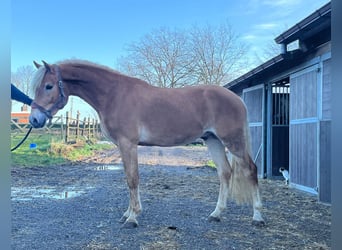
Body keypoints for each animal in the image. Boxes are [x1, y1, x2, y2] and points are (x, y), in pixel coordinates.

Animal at [29, 59, 264, 228]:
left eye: (49, 86)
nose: (34, 120)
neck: (114, 94)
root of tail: (236, 98)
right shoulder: (125, 146)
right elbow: (129, 178)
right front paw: (128, 213)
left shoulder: (128, 144)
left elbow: (132, 179)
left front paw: (132, 218)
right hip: (213, 141)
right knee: (225, 173)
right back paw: (216, 214)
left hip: (233, 142)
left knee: (251, 170)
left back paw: (258, 217)